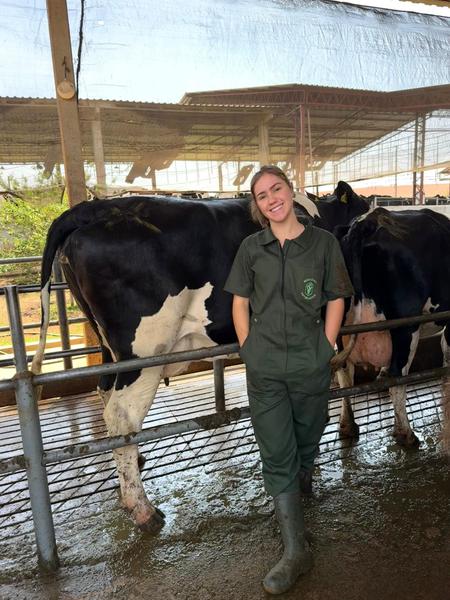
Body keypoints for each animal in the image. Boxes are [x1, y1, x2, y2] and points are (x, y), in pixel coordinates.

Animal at [32, 186, 370, 528]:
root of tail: (94, 208)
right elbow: (343, 371)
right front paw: (346, 426)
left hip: (106, 345)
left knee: (105, 393)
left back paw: (134, 461)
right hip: (143, 354)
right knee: (121, 414)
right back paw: (142, 508)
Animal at [338, 206, 450, 446]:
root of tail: (366, 222)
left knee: (345, 375)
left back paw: (348, 426)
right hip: (405, 327)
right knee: (397, 377)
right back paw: (406, 434)